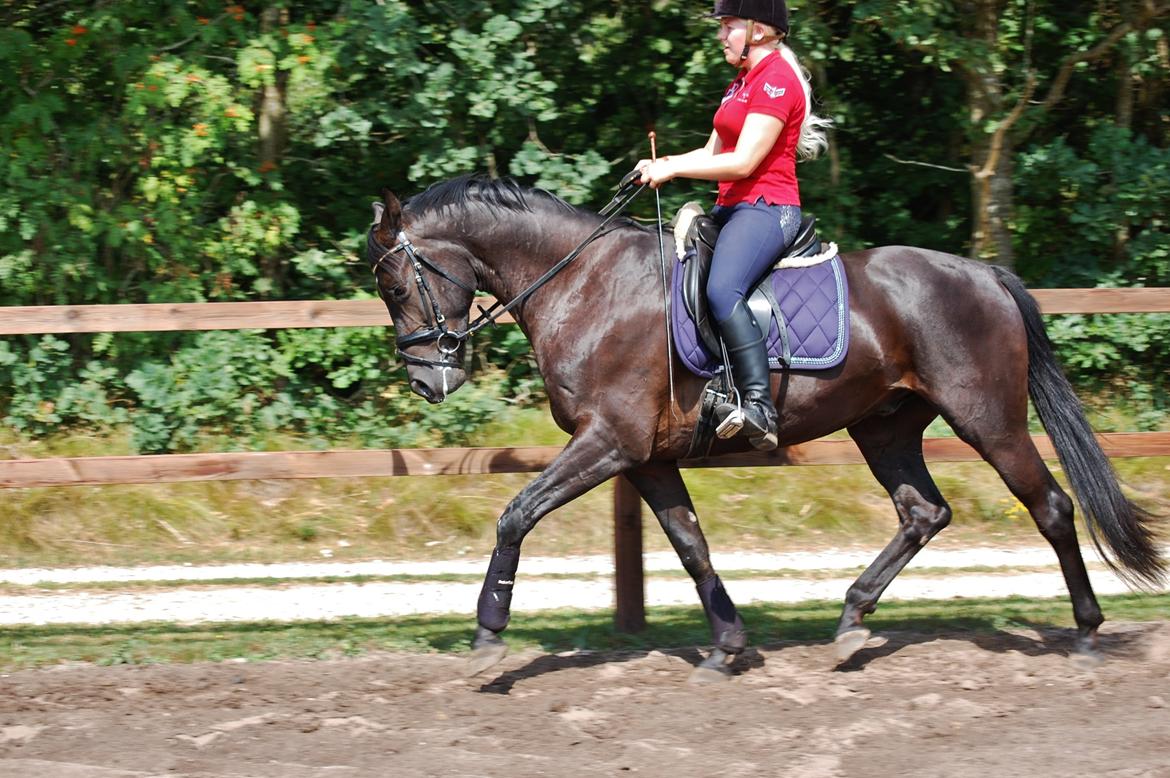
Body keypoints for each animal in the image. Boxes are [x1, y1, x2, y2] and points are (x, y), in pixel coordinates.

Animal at [365, 174, 1160, 678]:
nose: (429, 380)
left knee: (1050, 506)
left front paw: (488, 635)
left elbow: (516, 513)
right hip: (886, 427)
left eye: (396, 284)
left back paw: (1086, 632)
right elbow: (691, 545)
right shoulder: (644, 457)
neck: (581, 283)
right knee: (923, 512)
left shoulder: (607, 442)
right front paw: (726, 646)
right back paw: (851, 623)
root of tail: (985, 274)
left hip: (988, 421)